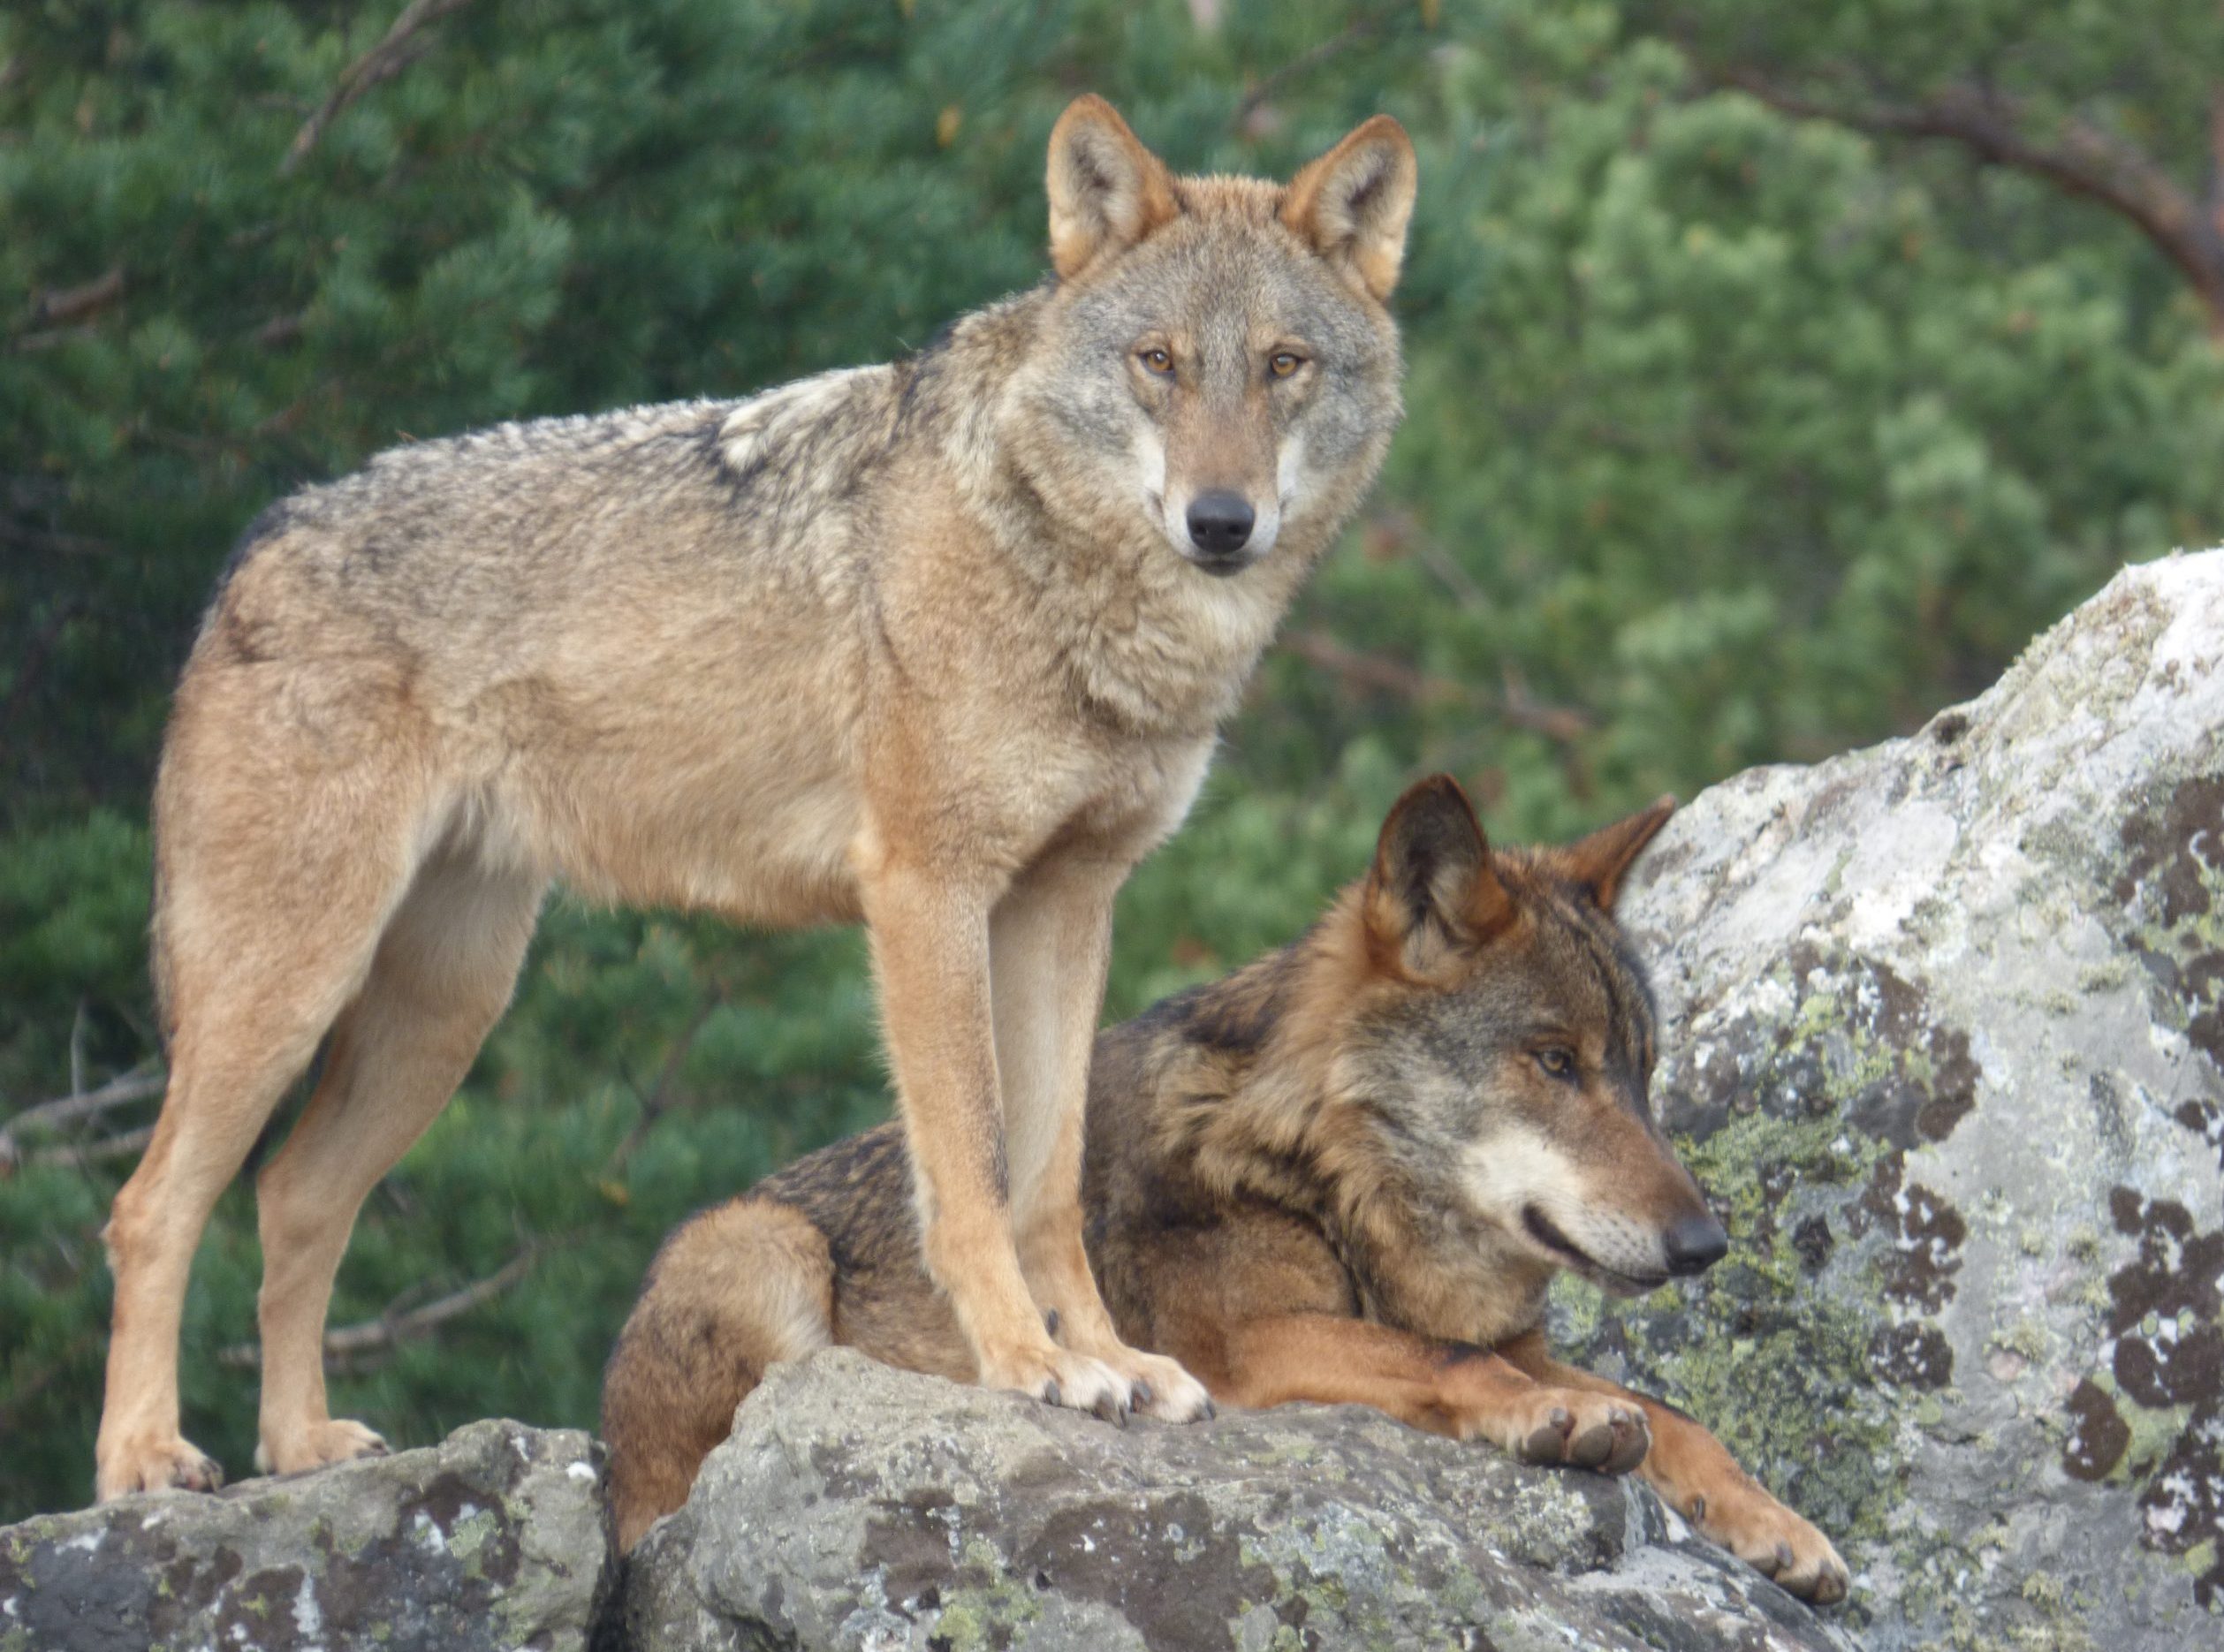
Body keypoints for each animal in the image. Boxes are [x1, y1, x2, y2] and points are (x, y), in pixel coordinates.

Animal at [94, 96, 1420, 1500]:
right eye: (1158, 361)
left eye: (1283, 364)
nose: (1221, 521)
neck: (1060, 573)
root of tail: (258, 538)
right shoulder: (926, 891)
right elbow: (971, 1166)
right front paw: (1030, 1364)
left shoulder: (1068, 904)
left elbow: (1050, 1179)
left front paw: (1115, 1360)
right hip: (287, 990)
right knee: (150, 1208)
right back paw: (144, 1457)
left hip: (440, 1014)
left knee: (292, 1197)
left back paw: (298, 1447)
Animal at [601, 776, 1851, 1604]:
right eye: (1554, 1061)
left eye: (1642, 1070)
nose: (1706, 1244)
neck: (1336, 1181)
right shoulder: (1248, 1346)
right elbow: (1455, 1359)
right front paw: (1566, 1419)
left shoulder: (1509, 1331)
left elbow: (1678, 1417)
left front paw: (1779, 1526)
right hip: (758, 1245)